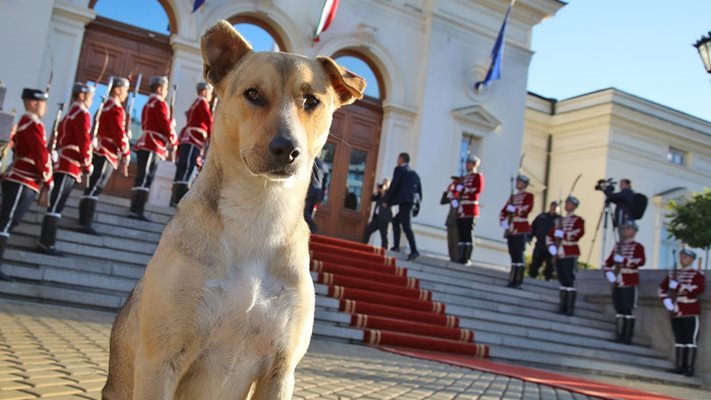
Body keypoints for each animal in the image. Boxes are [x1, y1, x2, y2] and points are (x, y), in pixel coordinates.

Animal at [100, 21, 364, 400]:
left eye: (312, 101)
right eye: (253, 94)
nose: (287, 149)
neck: (259, 211)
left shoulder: (281, 370)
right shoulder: (161, 362)